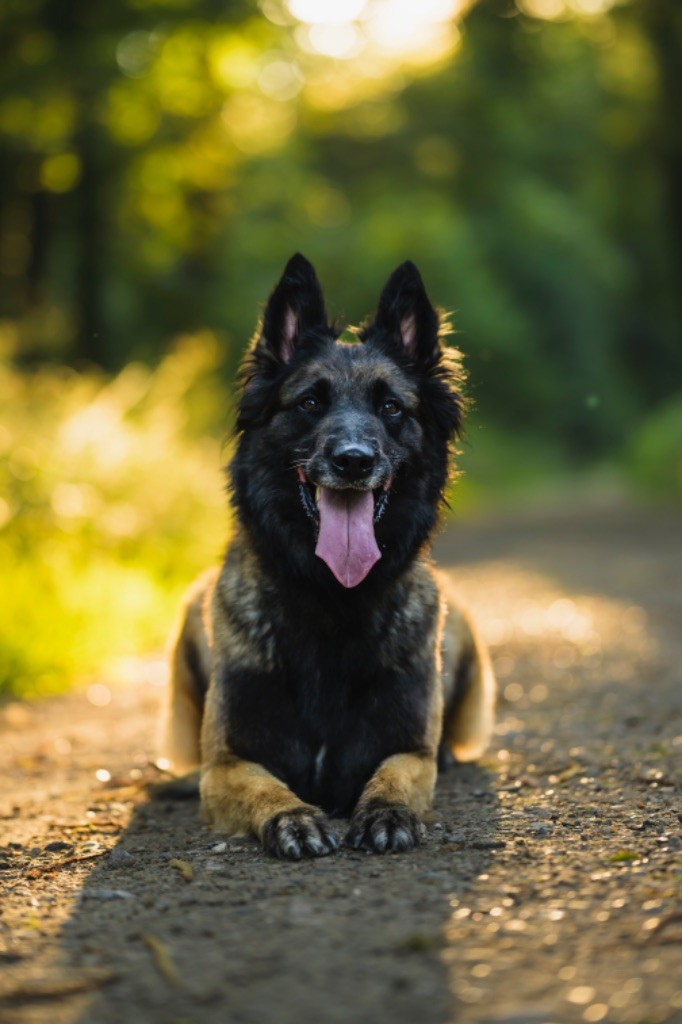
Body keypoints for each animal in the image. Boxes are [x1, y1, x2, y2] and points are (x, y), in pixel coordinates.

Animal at [162, 253, 497, 856]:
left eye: (391, 407)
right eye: (310, 402)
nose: (353, 461)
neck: (331, 599)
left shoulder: (409, 751)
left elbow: (393, 777)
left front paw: (385, 812)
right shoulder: (227, 764)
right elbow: (265, 788)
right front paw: (293, 817)